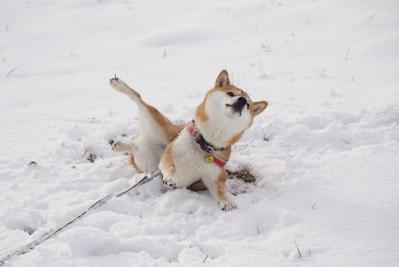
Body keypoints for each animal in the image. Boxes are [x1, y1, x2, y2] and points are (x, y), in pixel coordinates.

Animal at [110, 70, 268, 211]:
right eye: (231, 93)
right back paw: (119, 85)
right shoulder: (169, 154)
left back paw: (120, 145)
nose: (243, 100)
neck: (206, 143)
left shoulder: (215, 176)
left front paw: (226, 200)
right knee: (138, 98)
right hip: (159, 129)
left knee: (135, 148)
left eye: (248, 105)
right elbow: (169, 166)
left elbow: (220, 189)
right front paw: (171, 177)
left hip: (146, 163)